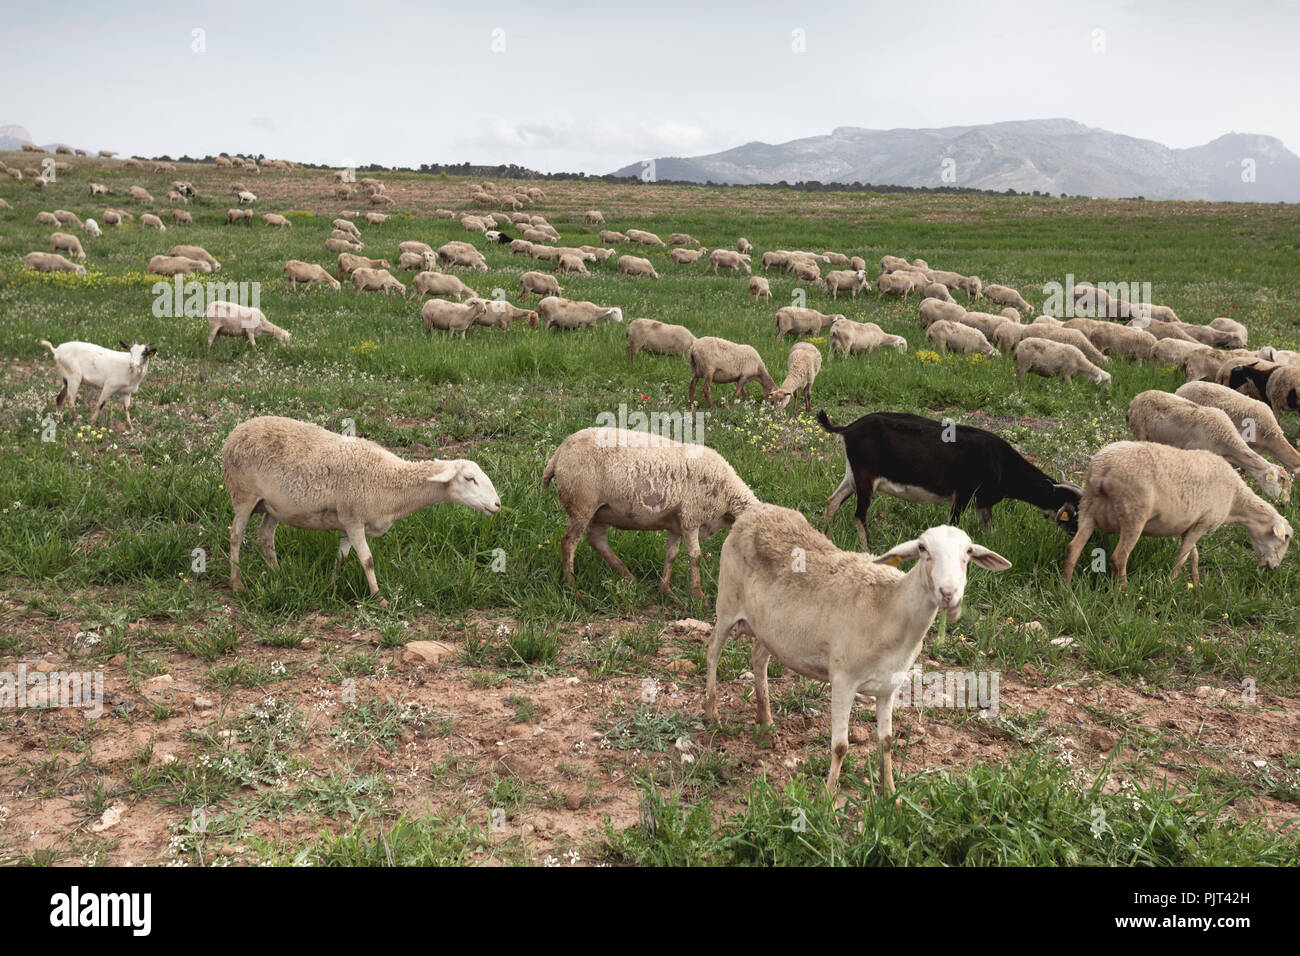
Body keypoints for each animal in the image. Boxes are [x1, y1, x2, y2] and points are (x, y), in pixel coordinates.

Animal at [222, 416, 500, 601]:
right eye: (469, 479)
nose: (497, 505)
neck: (390, 480)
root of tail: (236, 431)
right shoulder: (353, 519)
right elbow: (368, 561)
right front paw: (379, 598)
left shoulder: (348, 524)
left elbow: (342, 558)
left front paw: (331, 586)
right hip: (243, 495)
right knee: (235, 535)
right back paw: (237, 584)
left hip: (273, 506)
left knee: (265, 536)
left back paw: (278, 573)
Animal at [542, 426, 757, 599]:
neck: (727, 495)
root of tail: (558, 454)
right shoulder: (691, 517)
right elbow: (695, 556)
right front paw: (698, 595)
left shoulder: (676, 525)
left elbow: (671, 555)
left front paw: (666, 591)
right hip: (582, 504)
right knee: (569, 543)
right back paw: (572, 586)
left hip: (600, 511)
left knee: (597, 540)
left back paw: (630, 577)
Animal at [705, 503, 1010, 794]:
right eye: (923, 549)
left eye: (968, 552)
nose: (949, 593)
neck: (889, 608)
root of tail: (755, 510)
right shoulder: (843, 679)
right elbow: (840, 747)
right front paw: (828, 799)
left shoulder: (889, 687)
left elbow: (887, 742)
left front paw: (890, 794)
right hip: (727, 601)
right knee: (712, 651)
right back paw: (712, 714)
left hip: (770, 629)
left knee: (758, 659)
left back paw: (766, 722)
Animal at [1063, 441, 1292, 588]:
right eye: (1285, 539)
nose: (1273, 568)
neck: (1236, 500)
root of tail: (1103, 468)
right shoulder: (1203, 523)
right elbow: (1182, 558)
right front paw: (1171, 585)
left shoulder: (1190, 525)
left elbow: (1193, 556)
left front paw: (1197, 584)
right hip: (1134, 514)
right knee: (1119, 557)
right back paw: (1124, 591)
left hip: (1088, 508)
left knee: (1074, 547)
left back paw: (1065, 588)